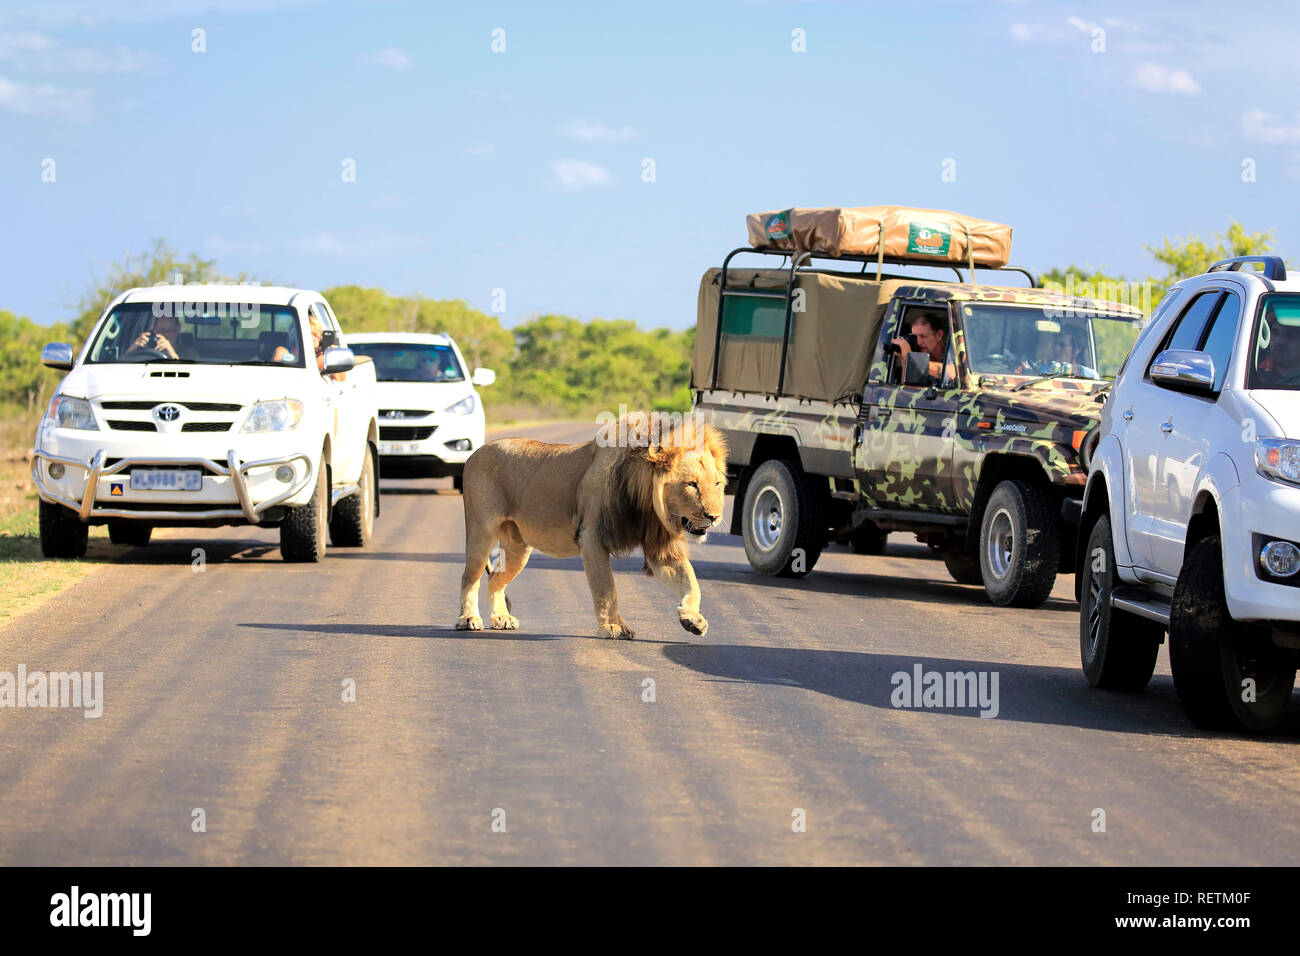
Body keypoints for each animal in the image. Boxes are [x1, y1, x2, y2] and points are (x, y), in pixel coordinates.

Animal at [457, 416, 728, 639]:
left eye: (717, 484)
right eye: (691, 484)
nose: (714, 517)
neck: (645, 502)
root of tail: (476, 452)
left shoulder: (661, 549)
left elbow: (691, 581)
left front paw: (693, 619)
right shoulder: (592, 537)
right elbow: (606, 587)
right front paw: (614, 626)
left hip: (518, 547)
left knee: (496, 578)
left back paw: (501, 618)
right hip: (482, 529)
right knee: (470, 576)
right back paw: (468, 619)